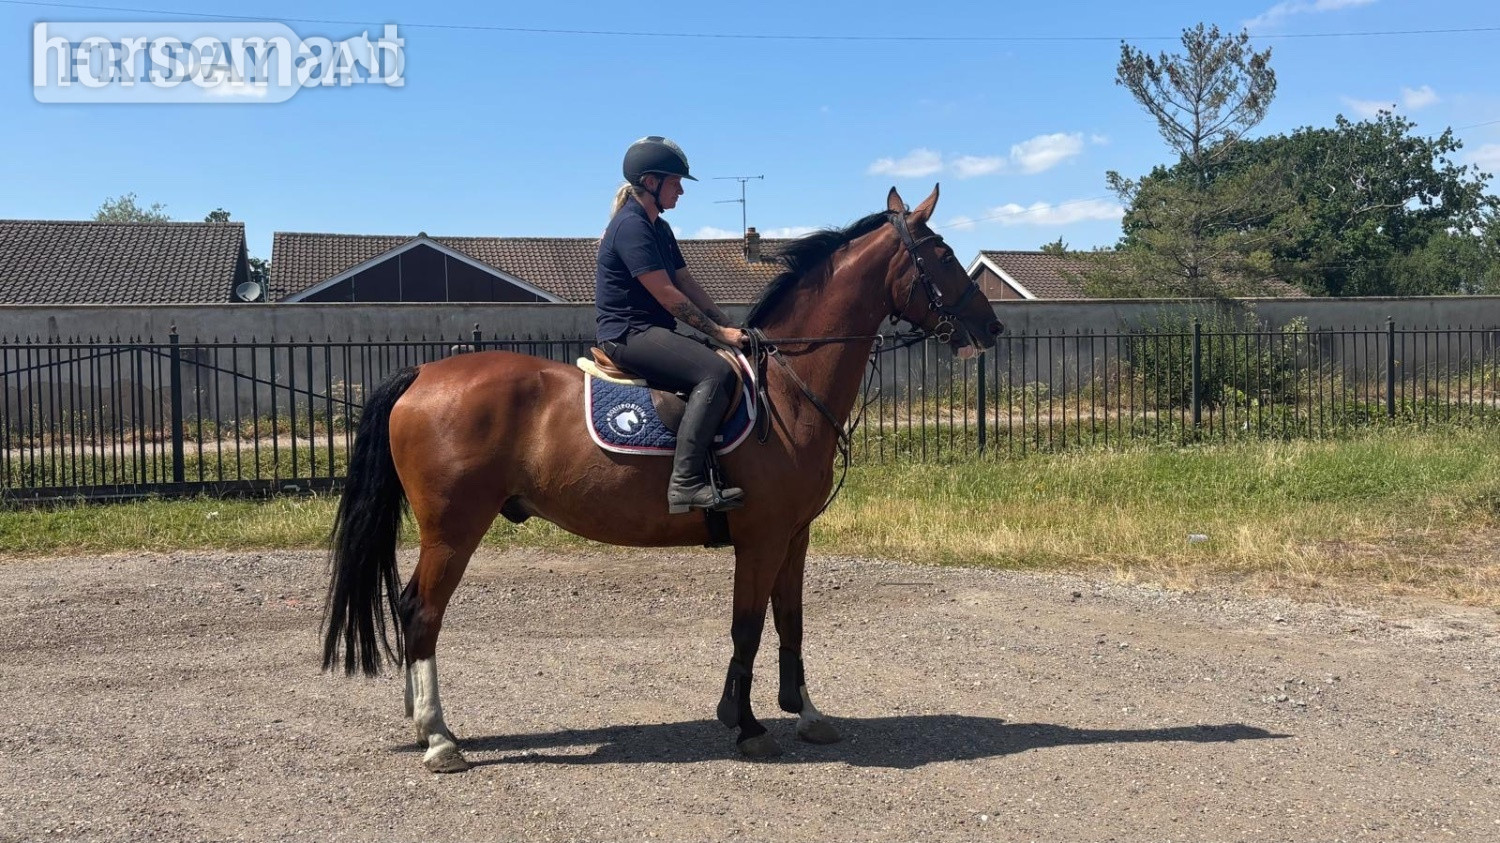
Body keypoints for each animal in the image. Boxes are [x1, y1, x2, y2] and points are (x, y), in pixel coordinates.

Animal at [321, 185, 1003, 772]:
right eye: (944, 255)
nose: (993, 329)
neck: (786, 389)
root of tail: (421, 374)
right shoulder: (760, 539)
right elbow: (747, 627)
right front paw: (746, 725)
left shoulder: (794, 537)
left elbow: (790, 620)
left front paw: (805, 713)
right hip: (453, 529)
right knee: (421, 611)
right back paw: (439, 738)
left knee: (411, 609)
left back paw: (422, 725)